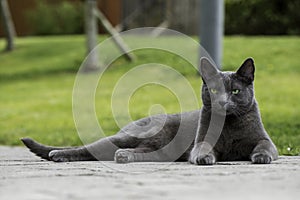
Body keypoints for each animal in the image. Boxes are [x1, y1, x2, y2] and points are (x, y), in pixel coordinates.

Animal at [21, 57, 278, 165]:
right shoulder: (201, 141)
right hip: (128, 136)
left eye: (235, 91)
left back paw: (124, 156)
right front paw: (204, 158)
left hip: (162, 151)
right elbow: (203, 149)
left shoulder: (266, 140)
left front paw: (261, 157)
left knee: (135, 153)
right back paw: (58, 154)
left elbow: (264, 146)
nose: (223, 102)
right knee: (90, 148)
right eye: (214, 91)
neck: (229, 125)